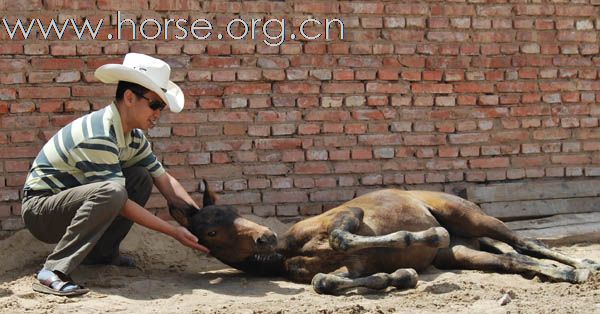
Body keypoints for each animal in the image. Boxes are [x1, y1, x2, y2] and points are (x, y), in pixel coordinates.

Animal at [170, 183, 600, 296]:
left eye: (232, 210)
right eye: (211, 230)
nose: (265, 236)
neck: (290, 251)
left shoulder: (350, 218)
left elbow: (342, 238)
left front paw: (423, 235)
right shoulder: (348, 268)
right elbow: (324, 281)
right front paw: (397, 277)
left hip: (470, 216)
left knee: (525, 242)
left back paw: (582, 266)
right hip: (462, 253)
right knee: (513, 259)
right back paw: (559, 274)